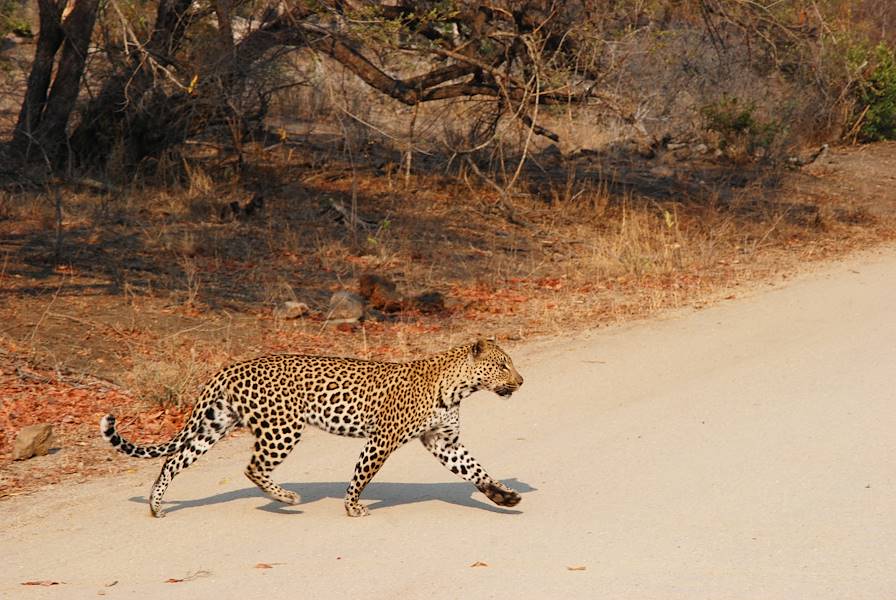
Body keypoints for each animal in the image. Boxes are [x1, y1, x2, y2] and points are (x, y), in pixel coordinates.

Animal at [102, 340, 524, 516]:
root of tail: (231, 366)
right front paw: (352, 507)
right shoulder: (382, 440)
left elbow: (476, 470)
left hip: (215, 424)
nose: (521, 382)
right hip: (283, 428)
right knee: (252, 467)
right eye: (503, 365)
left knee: (173, 461)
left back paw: (156, 505)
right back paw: (286, 499)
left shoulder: (443, 441)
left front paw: (503, 497)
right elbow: (361, 475)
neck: (458, 387)